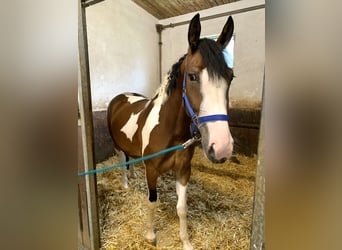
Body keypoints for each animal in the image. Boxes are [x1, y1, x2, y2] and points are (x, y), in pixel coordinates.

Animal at [107, 13, 235, 250]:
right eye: (192, 76)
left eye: (230, 76)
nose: (222, 147)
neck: (170, 131)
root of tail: (121, 97)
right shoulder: (151, 170)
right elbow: (152, 202)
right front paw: (150, 235)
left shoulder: (183, 171)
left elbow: (182, 208)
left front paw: (186, 241)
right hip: (117, 145)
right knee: (122, 161)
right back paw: (126, 184)